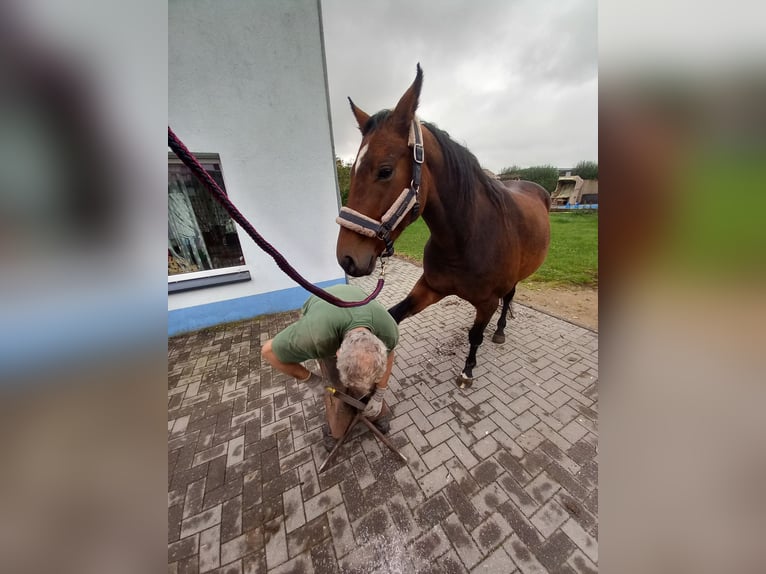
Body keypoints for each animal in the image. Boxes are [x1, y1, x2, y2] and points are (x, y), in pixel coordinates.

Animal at [336, 64, 551, 388]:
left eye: (385, 171)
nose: (346, 258)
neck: (464, 241)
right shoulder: (430, 287)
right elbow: (394, 314)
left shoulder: (487, 302)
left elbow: (475, 335)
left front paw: (467, 370)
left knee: (509, 298)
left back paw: (499, 331)